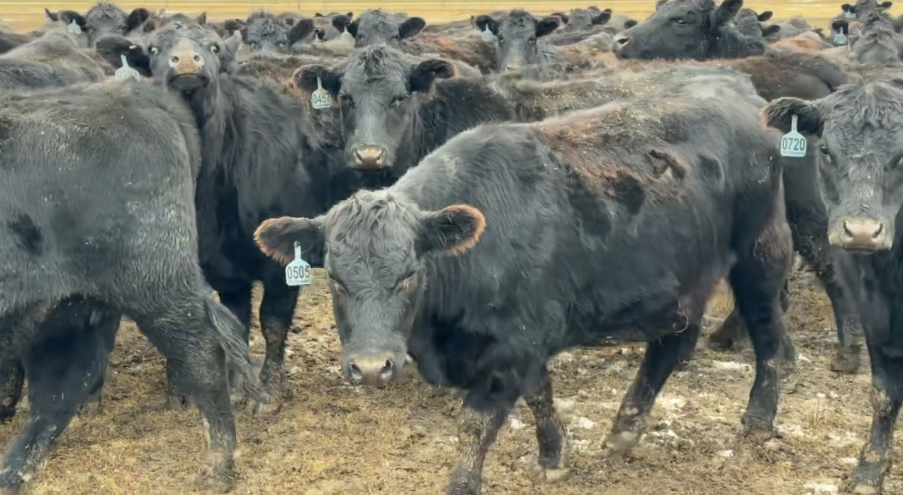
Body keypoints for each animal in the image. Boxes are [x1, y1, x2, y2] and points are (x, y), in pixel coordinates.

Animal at [0, 80, 266, 492]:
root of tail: (132, 93)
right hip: (67, 307)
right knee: (62, 387)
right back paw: (15, 472)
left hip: (155, 289)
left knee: (204, 353)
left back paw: (218, 468)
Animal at [253, 75, 791, 495]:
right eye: (336, 279)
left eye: (409, 274)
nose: (370, 367)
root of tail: (739, 96)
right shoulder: (528, 341)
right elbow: (540, 394)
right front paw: (554, 455)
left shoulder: (512, 345)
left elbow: (478, 421)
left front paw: (463, 484)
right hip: (682, 282)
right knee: (671, 346)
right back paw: (625, 428)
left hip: (761, 256)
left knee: (770, 338)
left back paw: (757, 421)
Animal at [760, 79, 903, 494]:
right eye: (825, 150)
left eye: (902, 155)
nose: (862, 232)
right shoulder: (874, 317)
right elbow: (884, 392)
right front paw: (870, 470)